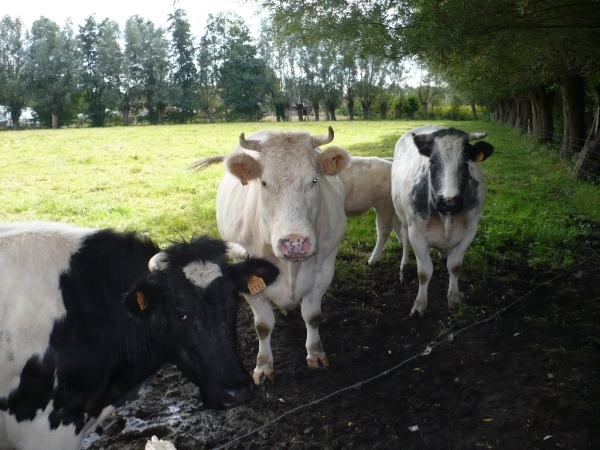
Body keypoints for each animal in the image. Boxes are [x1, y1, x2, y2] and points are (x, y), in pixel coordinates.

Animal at [191, 126, 352, 384]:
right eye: (264, 183)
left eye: (314, 180)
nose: (295, 242)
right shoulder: (247, 277)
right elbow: (263, 325)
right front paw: (264, 366)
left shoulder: (326, 268)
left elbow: (313, 316)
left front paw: (316, 354)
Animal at [392, 125, 494, 316]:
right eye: (432, 162)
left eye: (466, 162)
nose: (449, 202)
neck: (446, 217)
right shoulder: (416, 232)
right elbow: (424, 272)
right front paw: (420, 304)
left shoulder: (470, 230)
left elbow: (454, 266)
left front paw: (454, 298)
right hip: (401, 214)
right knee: (404, 238)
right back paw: (404, 268)